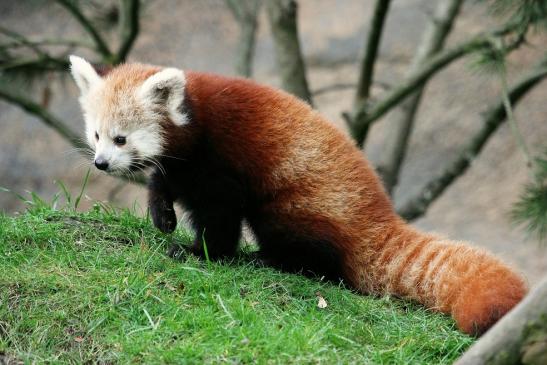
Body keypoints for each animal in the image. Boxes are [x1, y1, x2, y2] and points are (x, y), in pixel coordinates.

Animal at [68, 54, 528, 336]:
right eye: (97, 135)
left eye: (122, 138)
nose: (101, 164)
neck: (194, 116)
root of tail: (379, 216)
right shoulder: (182, 162)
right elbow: (164, 184)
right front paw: (162, 214)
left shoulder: (220, 158)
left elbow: (220, 214)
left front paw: (200, 251)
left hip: (297, 206)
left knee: (313, 253)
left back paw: (269, 259)